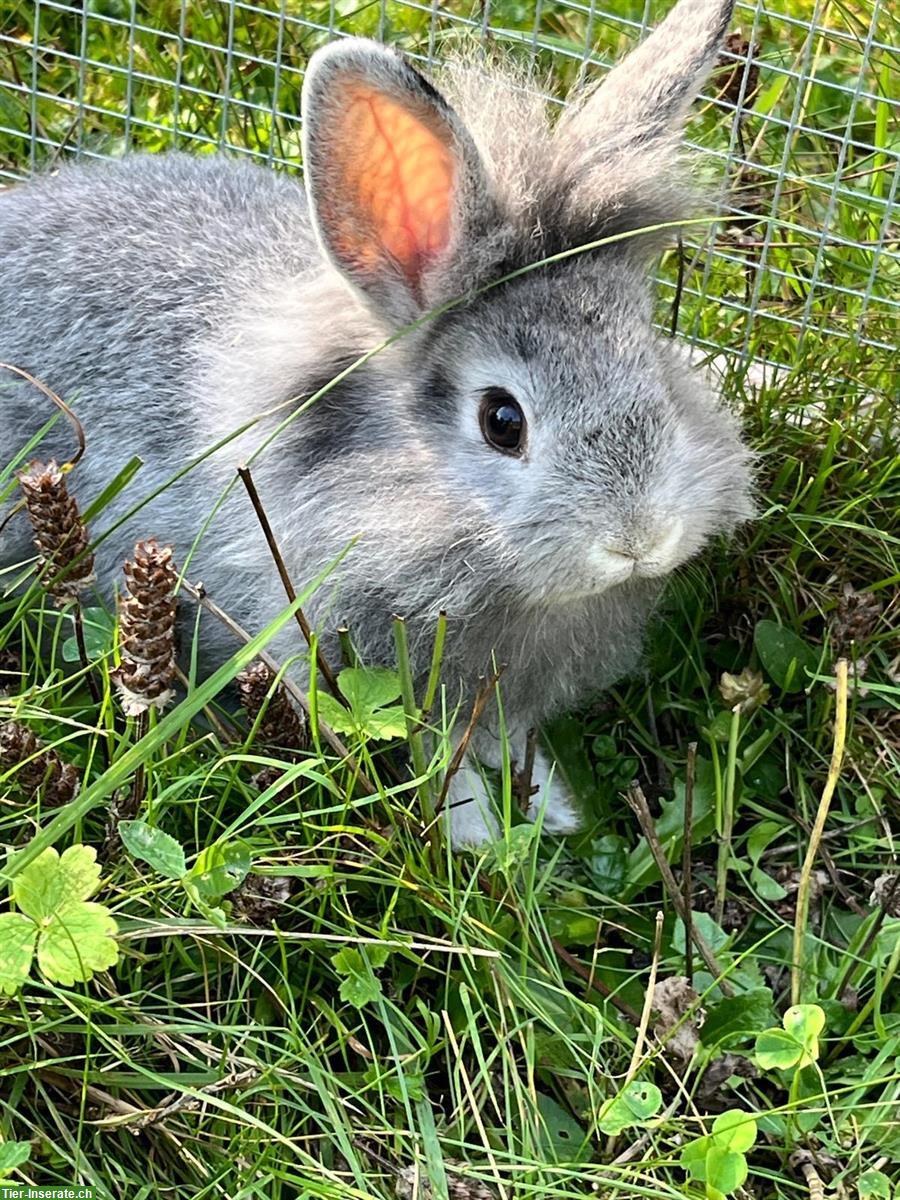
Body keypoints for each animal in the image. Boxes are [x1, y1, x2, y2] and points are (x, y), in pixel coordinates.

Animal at [0, 0, 753, 844]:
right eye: (502, 421)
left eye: (655, 364)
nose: (640, 538)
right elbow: (436, 755)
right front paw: (475, 836)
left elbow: (499, 738)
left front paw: (549, 810)